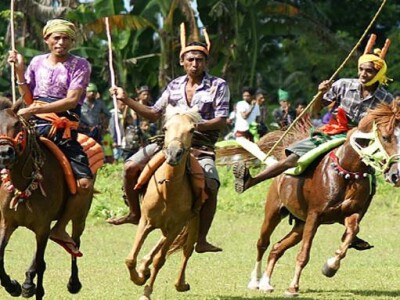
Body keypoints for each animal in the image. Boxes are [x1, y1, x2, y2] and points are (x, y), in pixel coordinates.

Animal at [0, 99, 94, 298]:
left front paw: (34, 288)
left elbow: (41, 264)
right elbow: (1, 255)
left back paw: (73, 282)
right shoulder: (7, 222)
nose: (5, 152)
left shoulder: (42, 226)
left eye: (17, 124)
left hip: (80, 215)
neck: (23, 185)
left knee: (74, 241)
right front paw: (13, 286)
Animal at [125, 105, 205, 300]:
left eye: (192, 130)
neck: (167, 190)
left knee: (187, 250)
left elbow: (160, 260)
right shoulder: (145, 221)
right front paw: (139, 277)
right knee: (162, 241)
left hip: (192, 222)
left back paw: (180, 283)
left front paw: (146, 291)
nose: (174, 154)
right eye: (165, 128)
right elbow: (130, 259)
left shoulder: (178, 225)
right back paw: (143, 267)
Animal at [244, 100, 400, 296]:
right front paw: (293, 287)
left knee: (277, 248)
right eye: (385, 137)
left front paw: (330, 266)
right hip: (274, 211)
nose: (396, 175)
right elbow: (304, 255)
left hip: (299, 225)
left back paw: (266, 282)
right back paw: (255, 281)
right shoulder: (315, 215)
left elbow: (351, 233)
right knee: (263, 243)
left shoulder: (351, 213)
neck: (347, 172)